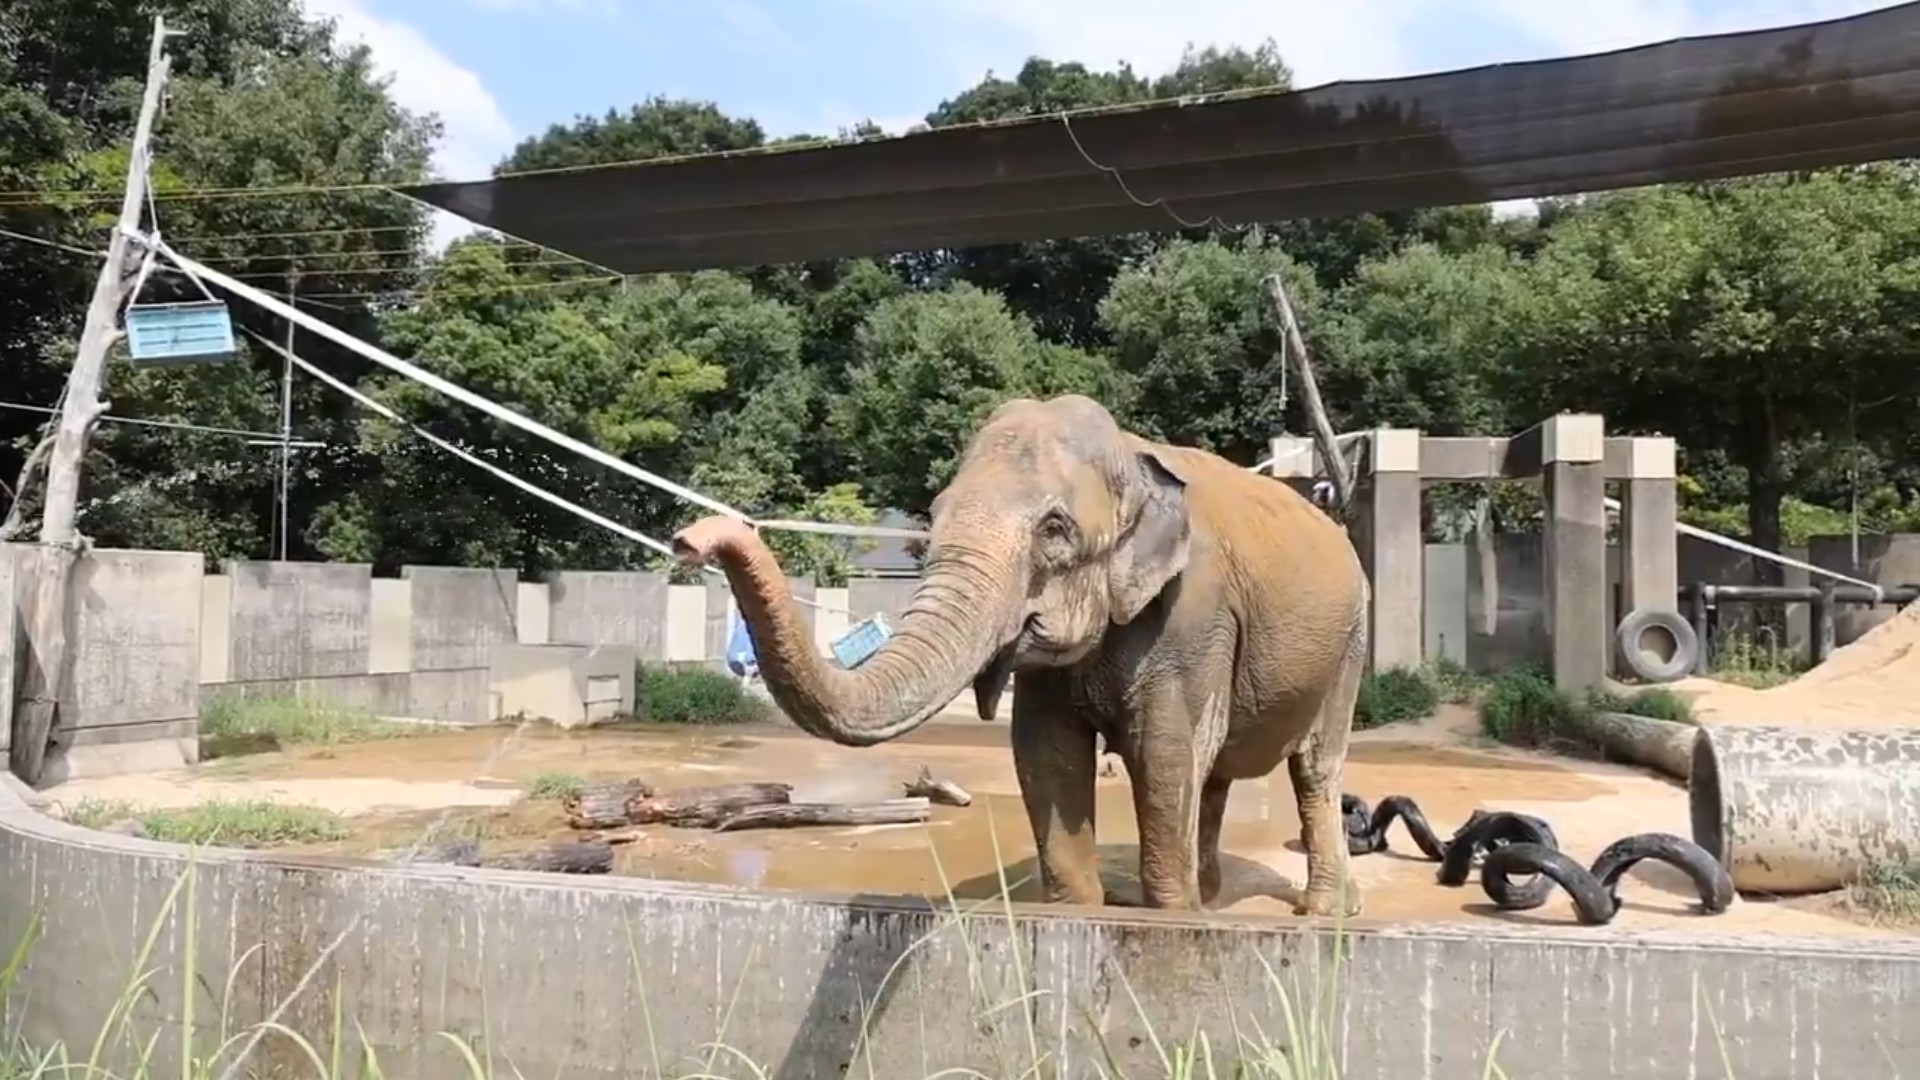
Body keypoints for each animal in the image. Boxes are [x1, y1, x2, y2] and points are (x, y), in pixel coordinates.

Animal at [670, 394, 1371, 916]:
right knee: (1218, 773)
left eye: (1054, 530)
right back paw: (1216, 895)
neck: (1131, 454)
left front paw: (1173, 921)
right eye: (934, 515)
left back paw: (1321, 912)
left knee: (1313, 767)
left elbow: (1166, 754)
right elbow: (1045, 755)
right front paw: (1086, 913)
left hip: (1351, 641)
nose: (689, 540)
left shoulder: (1192, 614)